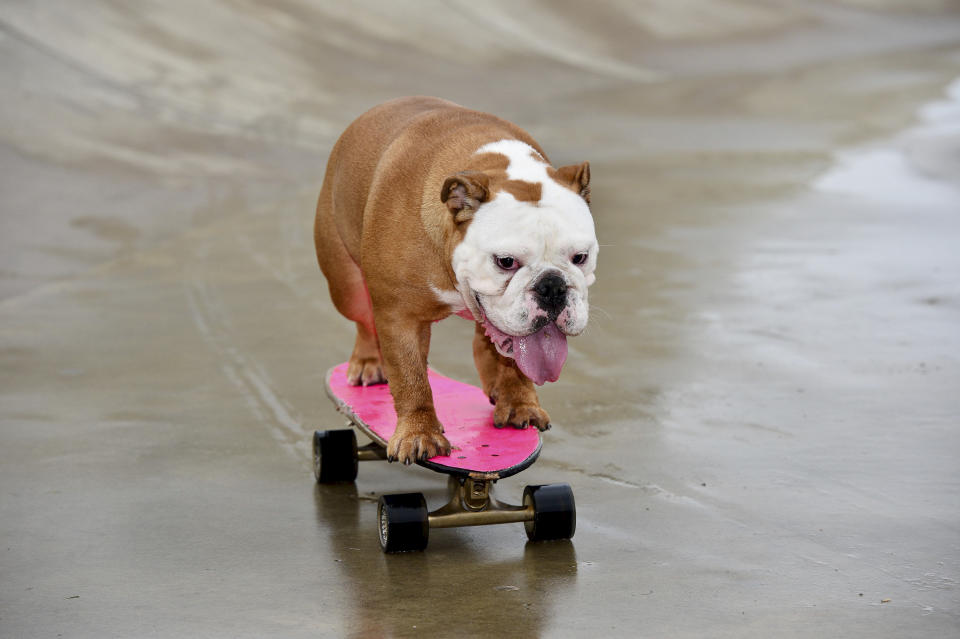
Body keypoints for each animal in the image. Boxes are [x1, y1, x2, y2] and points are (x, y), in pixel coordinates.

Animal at [316, 96, 596, 464]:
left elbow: (517, 362)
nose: (552, 286)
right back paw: (368, 363)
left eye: (581, 257)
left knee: (487, 342)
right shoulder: (399, 315)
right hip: (346, 283)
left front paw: (519, 402)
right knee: (364, 320)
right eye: (505, 262)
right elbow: (411, 378)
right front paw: (419, 434)